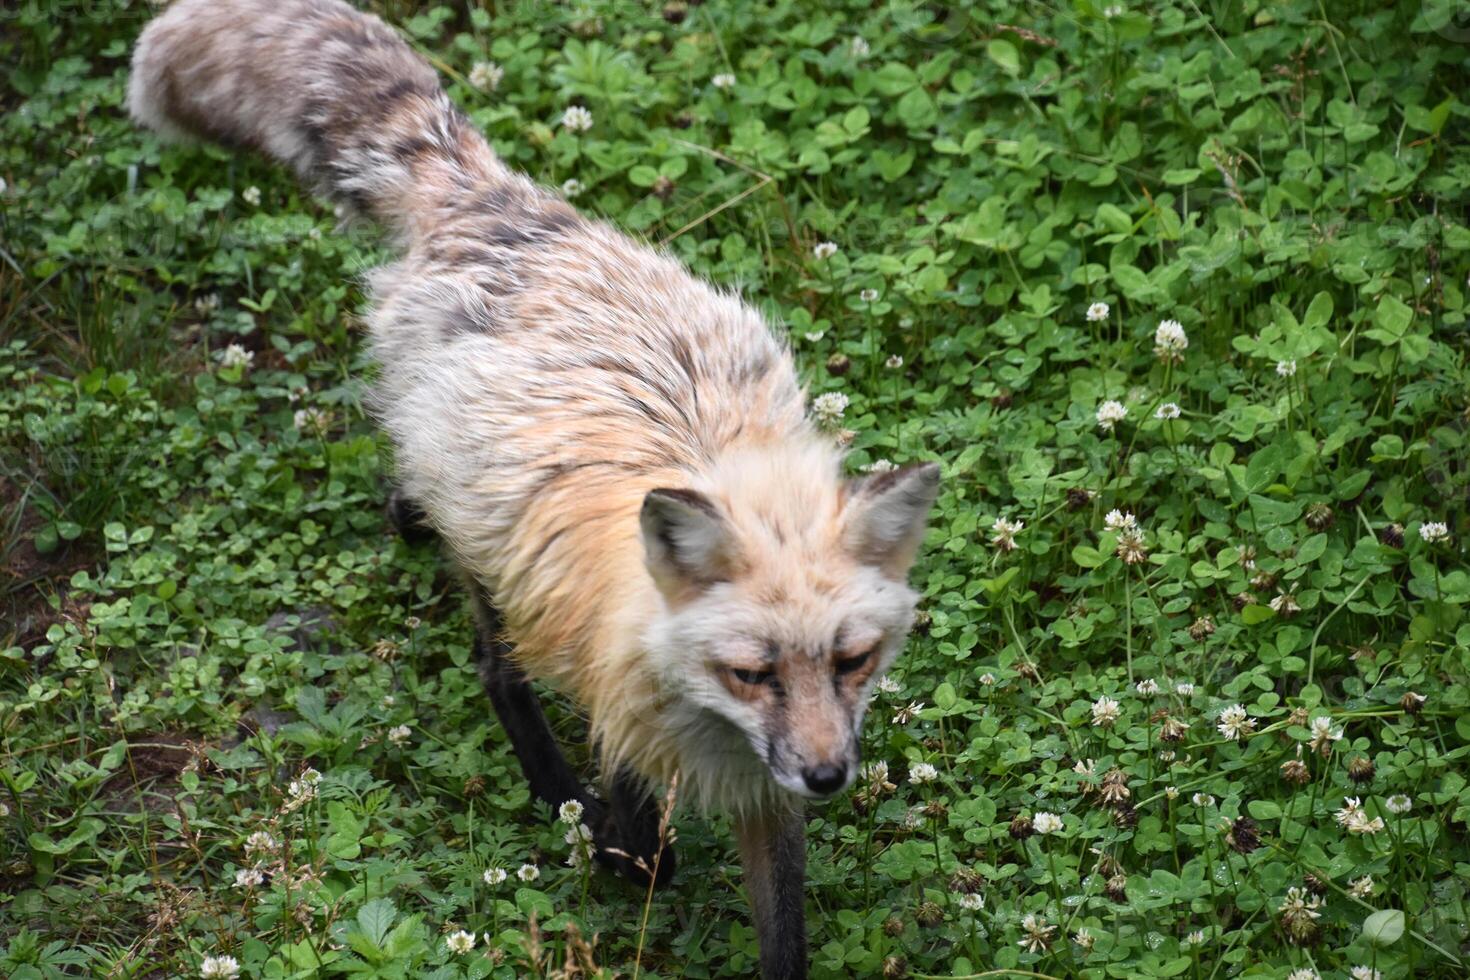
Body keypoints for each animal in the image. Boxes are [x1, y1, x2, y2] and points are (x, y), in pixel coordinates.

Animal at [132, 3, 934, 975]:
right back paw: (556, 790)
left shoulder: (766, 792)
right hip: (492, 557)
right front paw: (610, 843)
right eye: (753, 672)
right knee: (495, 670)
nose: (828, 776)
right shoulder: (613, 692)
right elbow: (644, 841)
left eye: (854, 660)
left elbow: (784, 938)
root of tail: (494, 200)